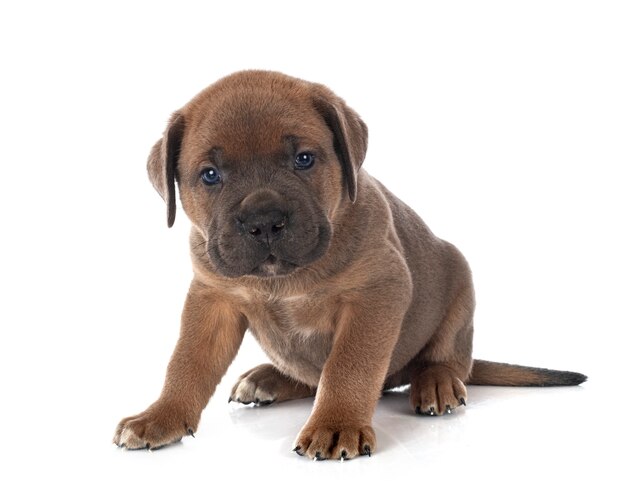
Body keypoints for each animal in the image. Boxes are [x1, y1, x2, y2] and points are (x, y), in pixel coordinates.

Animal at [113, 70, 584, 462]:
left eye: (303, 159)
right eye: (210, 175)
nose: (264, 221)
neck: (283, 279)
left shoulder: (376, 294)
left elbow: (348, 367)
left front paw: (336, 424)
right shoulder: (213, 299)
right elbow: (186, 363)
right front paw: (160, 416)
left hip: (460, 282)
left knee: (449, 359)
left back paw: (436, 382)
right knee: (308, 374)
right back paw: (269, 379)